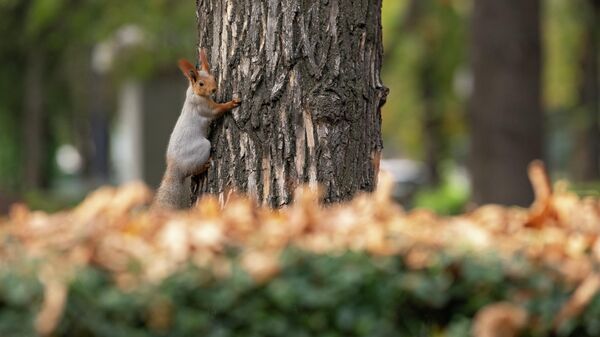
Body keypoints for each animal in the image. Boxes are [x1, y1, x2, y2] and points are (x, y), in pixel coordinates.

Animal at [155, 47, 241, 209]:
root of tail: (175, 166)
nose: (214, 89)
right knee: (193, 170)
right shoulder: (204, 108)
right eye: (201, 83)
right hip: (201, 148)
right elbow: (217, 110)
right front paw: (231, 103)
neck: (194, 94)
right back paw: (204, 166)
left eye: (214, 78)